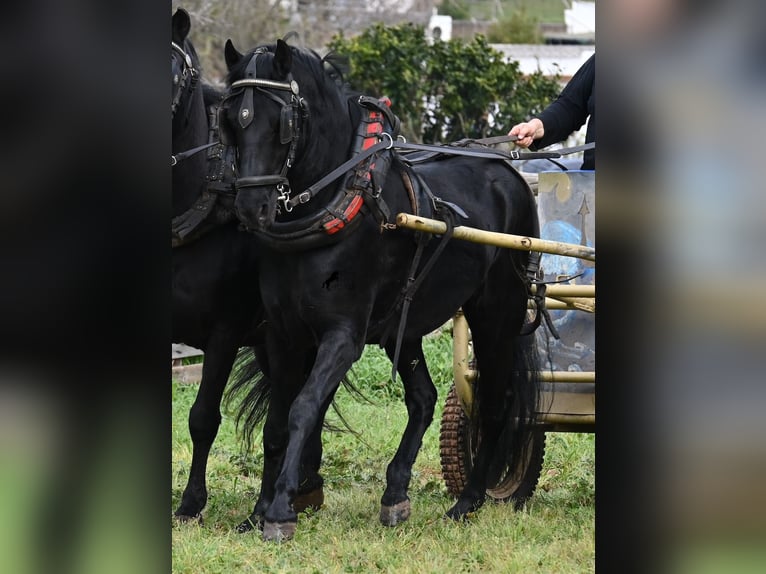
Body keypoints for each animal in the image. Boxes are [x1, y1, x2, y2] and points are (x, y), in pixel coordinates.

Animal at [220, 38, 542, 541]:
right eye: (232, 118)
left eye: (282, 123)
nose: (252, 208)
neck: (338, 200)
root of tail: (509, 173)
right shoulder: (283, 334)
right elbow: (276, 423)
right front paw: (258, 511)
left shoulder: (343, 336)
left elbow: (303, 409)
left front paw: (281, 511)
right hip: (402, 326)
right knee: (424, 399)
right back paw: (395, 494)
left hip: (497, 313)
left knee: (495, 401)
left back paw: (469, 500)